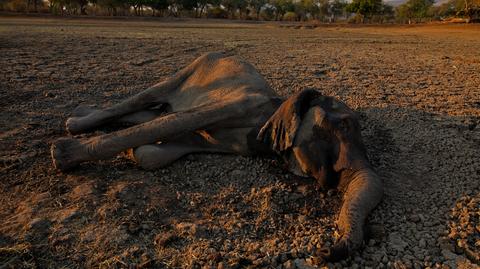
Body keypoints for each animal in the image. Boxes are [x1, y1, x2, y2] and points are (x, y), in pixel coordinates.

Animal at [51, 51, 382, 260]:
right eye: (342, 124)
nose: (324, 251)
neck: (277, 105)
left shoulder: (237, 143)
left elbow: (155, 152)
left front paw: (137, 152)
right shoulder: (239, 104)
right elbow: (176, 122)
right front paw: (62, 155)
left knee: (154, 112)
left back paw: (82, 114)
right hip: (192, 68)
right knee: (146, 100)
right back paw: (75, 124)